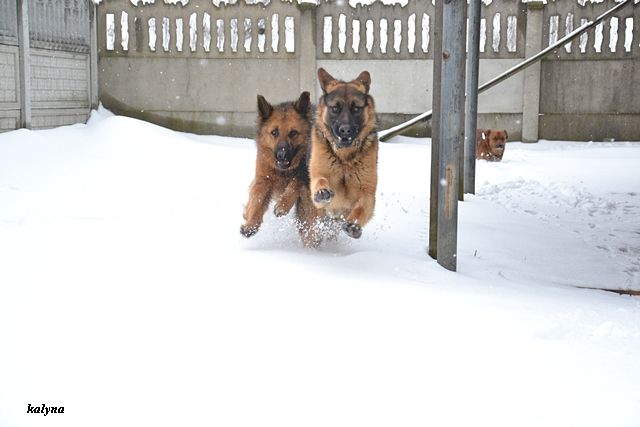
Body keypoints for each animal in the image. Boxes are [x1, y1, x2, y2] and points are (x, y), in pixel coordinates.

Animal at [240, 91, 320, 247]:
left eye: (293, 133)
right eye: (274, 132)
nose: (282, 155)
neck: (284, 172)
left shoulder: (305, 176)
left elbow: (295, 183)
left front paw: (283, 205)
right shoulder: (263, 179)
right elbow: (257, 201)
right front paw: (250, 224)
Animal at [308, 68, 379, 239]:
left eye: (356, 109)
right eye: (335, 108)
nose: (345, 130)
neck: (345, 159)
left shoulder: (368, 194)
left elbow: (361, 208)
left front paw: (354, 225)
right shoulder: (318, 177)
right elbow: (320, 181)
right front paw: (322, 191)